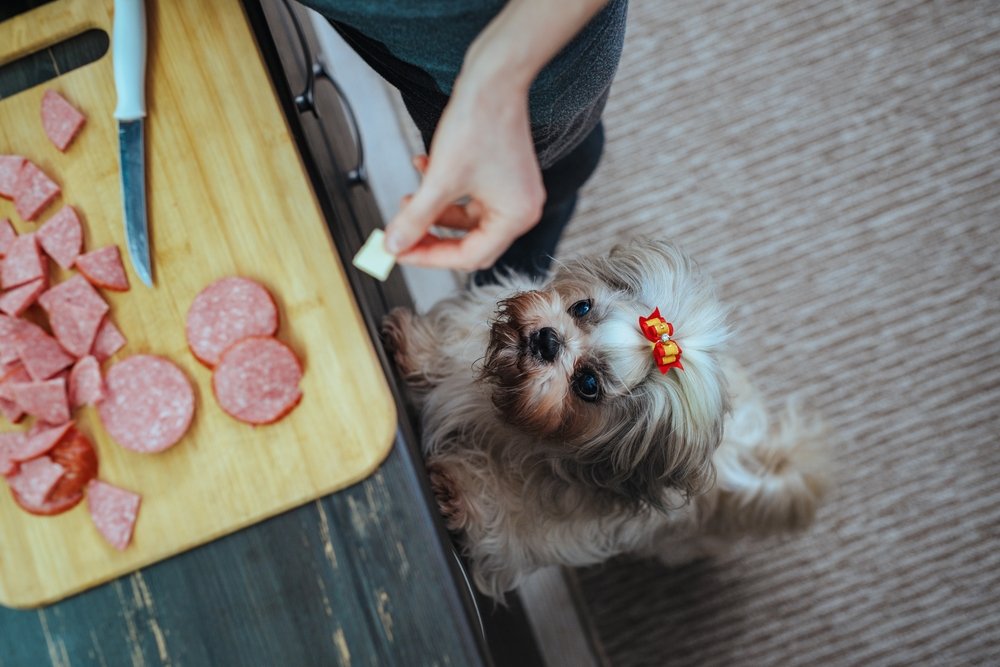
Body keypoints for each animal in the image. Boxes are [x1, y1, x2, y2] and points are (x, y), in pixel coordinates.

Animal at [382, 239, 828, 600]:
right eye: (582, 307)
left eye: (588, 385)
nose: (548, 340)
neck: (515, 422)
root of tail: (762, 454)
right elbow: (452, 340)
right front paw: (416, 348)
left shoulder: (548, 520)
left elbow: (504, 517)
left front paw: (458, 489)